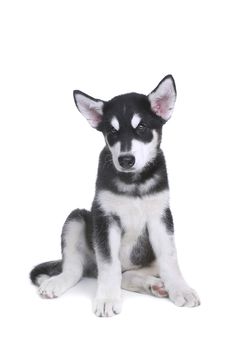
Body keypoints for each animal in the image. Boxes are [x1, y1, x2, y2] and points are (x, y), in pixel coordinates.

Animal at [29, 76, 200, 318]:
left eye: (141, 127)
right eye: (112, 131)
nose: (125, 160)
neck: (133, 182)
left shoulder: (161, 217)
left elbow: (170, 258)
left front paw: (181, 289)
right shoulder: (105, 217)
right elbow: (109, 265)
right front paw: (108, 299)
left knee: (128, 275)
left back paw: (155, 285)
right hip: (77, 218)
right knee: (77, 268)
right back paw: (57, 282)